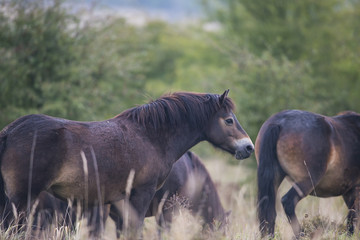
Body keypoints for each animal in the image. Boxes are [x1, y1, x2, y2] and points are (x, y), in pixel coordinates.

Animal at [0, 89, 255, 236]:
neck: (150, 136)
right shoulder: (143, 198)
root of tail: (10, 131)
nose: (249, 147)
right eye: (229, 120)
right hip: (22, 201)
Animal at [255, 109, 360, 237]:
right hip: (307, 181)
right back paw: (300, 235)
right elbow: (353, 218)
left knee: (269, 212)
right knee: (288, 202)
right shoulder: (356, 190)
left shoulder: (349, 191)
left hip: (274, 179)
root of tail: (278, 122)